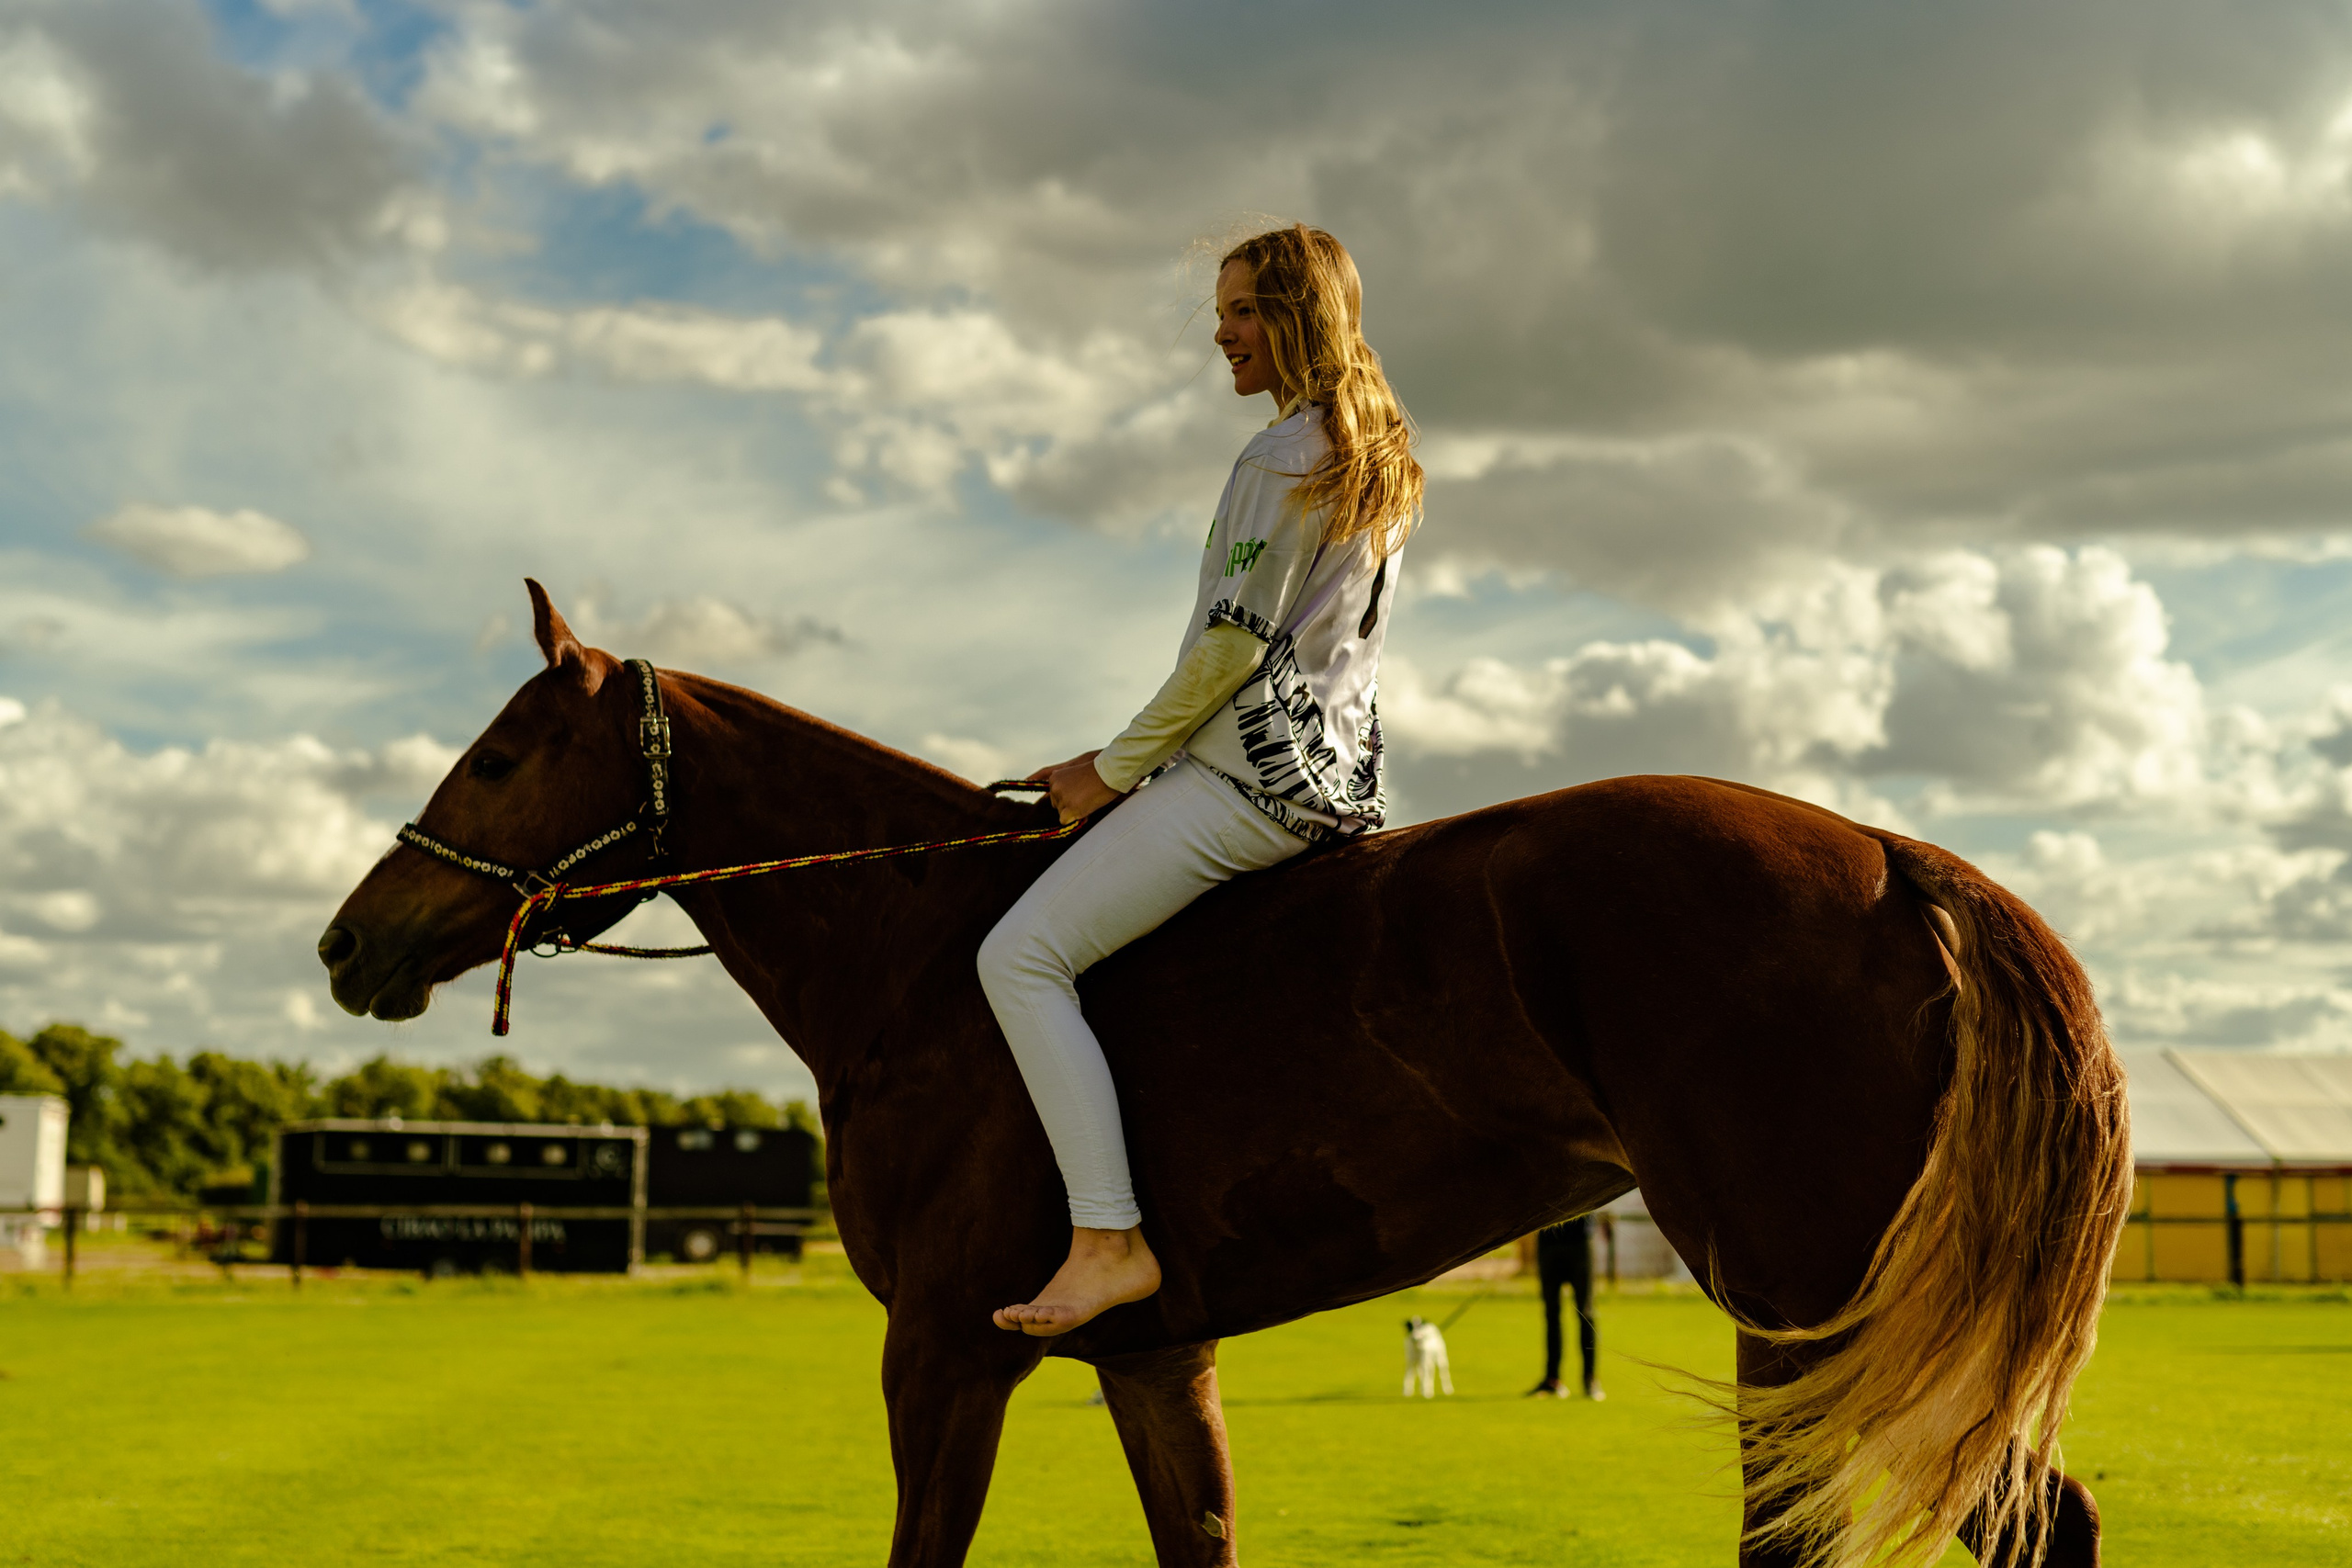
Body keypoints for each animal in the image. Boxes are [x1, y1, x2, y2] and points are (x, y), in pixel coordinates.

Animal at [319, 581, 2131, 1568]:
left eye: (499, 753)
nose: (349, 943)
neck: (915, 951)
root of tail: (1893, 858)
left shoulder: (942, 1359)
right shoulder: (1152, 1358)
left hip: (1802, 1310)